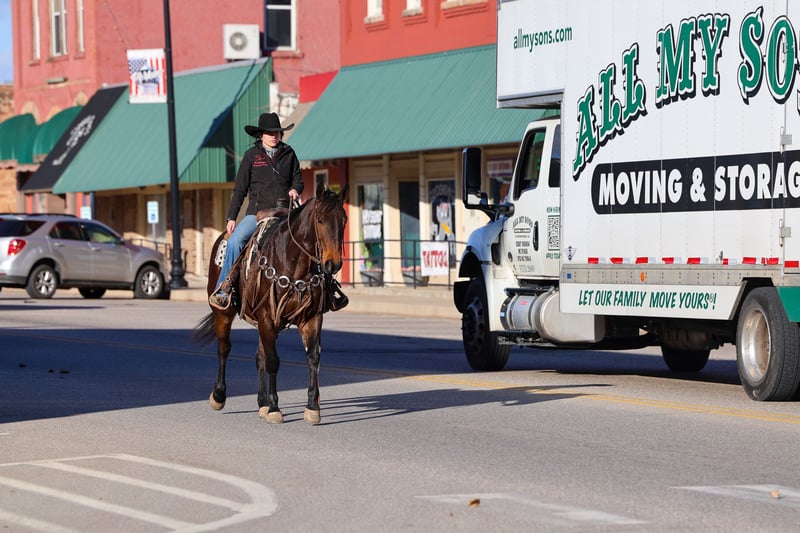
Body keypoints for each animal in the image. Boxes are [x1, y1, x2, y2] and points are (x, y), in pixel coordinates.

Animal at [193, 183, 349, 425]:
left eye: (344, 220)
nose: (333, 264)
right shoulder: (267, 317)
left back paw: (262, 402)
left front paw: (312, 407)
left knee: (259, 357)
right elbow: (273, 361)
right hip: (223, 313)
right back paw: (219, 396)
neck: (293, 262)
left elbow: (313, 357)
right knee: (224, 348)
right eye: (320, 220)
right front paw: (275, 408)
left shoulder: (311, 318)